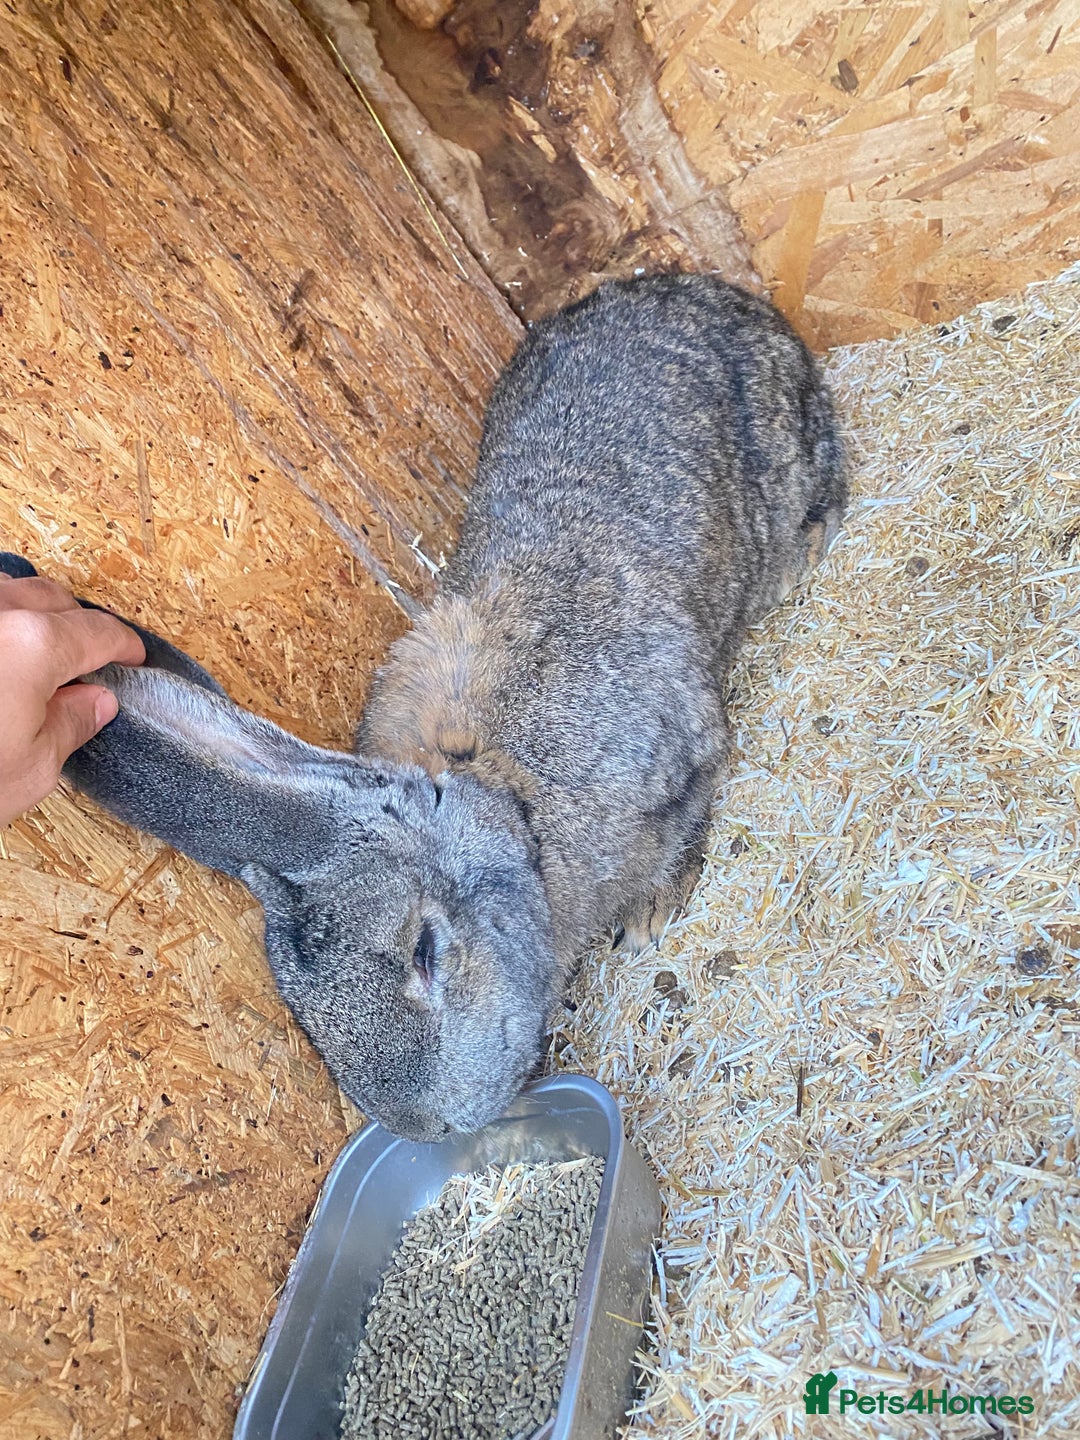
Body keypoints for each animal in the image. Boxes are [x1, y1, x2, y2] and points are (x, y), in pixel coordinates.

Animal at [0, 273, 845, 1144]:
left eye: (428, 952)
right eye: (309, 1023)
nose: (427, 1126)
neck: (514, 810)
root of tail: (710, 289)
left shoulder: (682, 758)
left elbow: (691, 815)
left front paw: (649, 913)